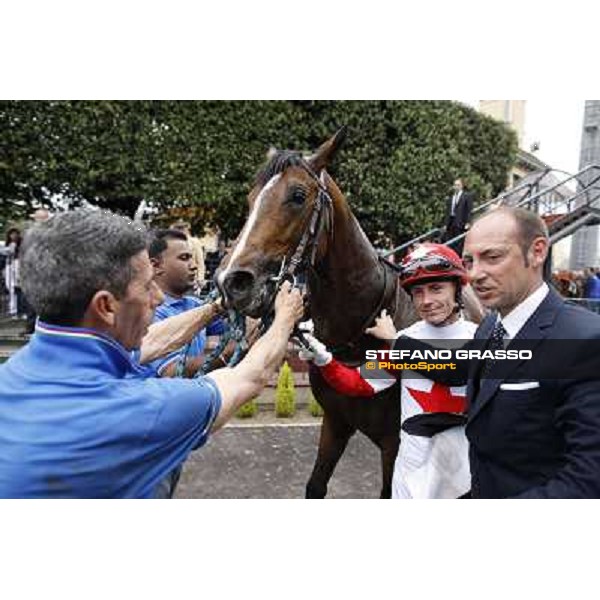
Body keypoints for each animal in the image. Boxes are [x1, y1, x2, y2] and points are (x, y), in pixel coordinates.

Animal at [218, 129, 480, 500]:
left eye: (298, 195)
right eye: (251, 198)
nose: (231, 282)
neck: (360, 336)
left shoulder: (395, 444)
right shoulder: (335, 423)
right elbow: (315, 485)